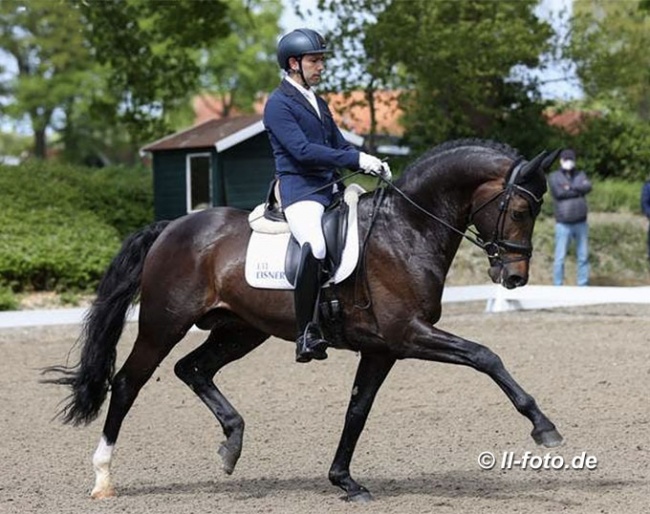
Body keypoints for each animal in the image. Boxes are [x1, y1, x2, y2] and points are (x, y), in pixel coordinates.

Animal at [45, 139, 560, 500]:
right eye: (520, 209)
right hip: (162, 324)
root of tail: (172, 227)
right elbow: (485, 356)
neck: (406, 229)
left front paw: (344, 481)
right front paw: (543, 426)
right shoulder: (408, 334)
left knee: (192, 368)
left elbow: (357, 410)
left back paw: (232, 444)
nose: (514, 277)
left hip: (240, 330)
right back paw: (103, 478)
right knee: (127, 383)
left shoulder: (382, 348)